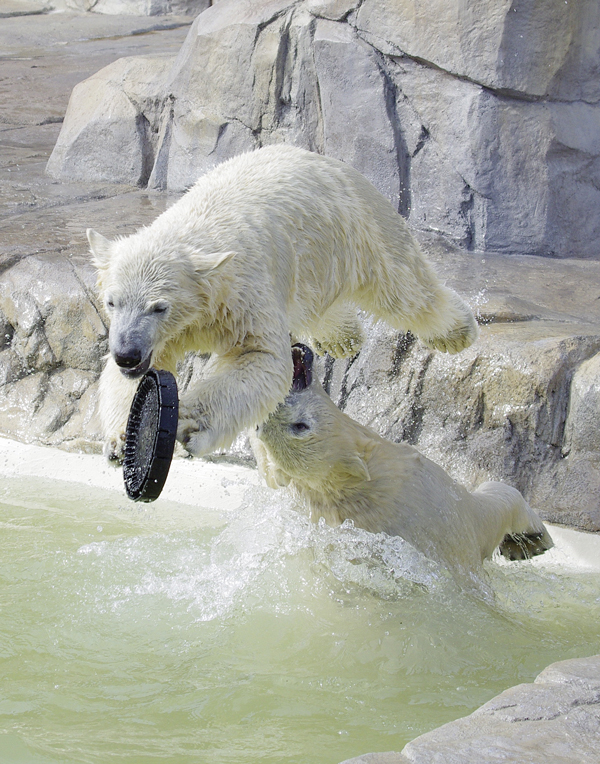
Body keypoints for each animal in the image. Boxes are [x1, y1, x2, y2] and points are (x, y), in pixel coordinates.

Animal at [250, 346, 552, 572]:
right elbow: (496, 503)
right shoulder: (444, 503)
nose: (264, 409)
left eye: (257, 428)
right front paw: (531, 541)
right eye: (301, 426)